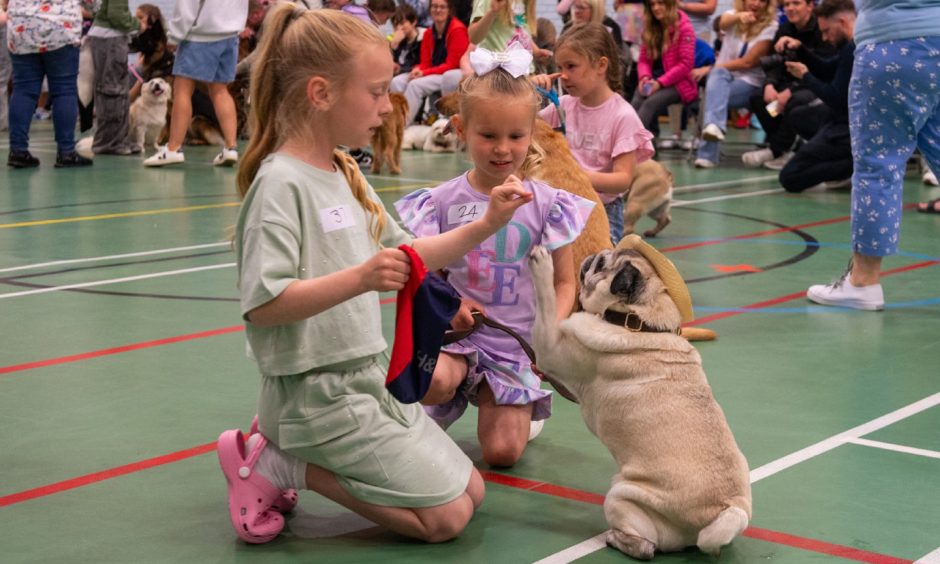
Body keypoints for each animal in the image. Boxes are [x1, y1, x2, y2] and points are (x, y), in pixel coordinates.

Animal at [528, 239, 748, 560]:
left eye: (601, 264)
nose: (591, 256)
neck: (638, 321)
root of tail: (725, 509)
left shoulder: (549, 348)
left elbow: (546, 302)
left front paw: (543, 265)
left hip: (620, 495)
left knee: (646, 548)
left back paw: (616, 539)